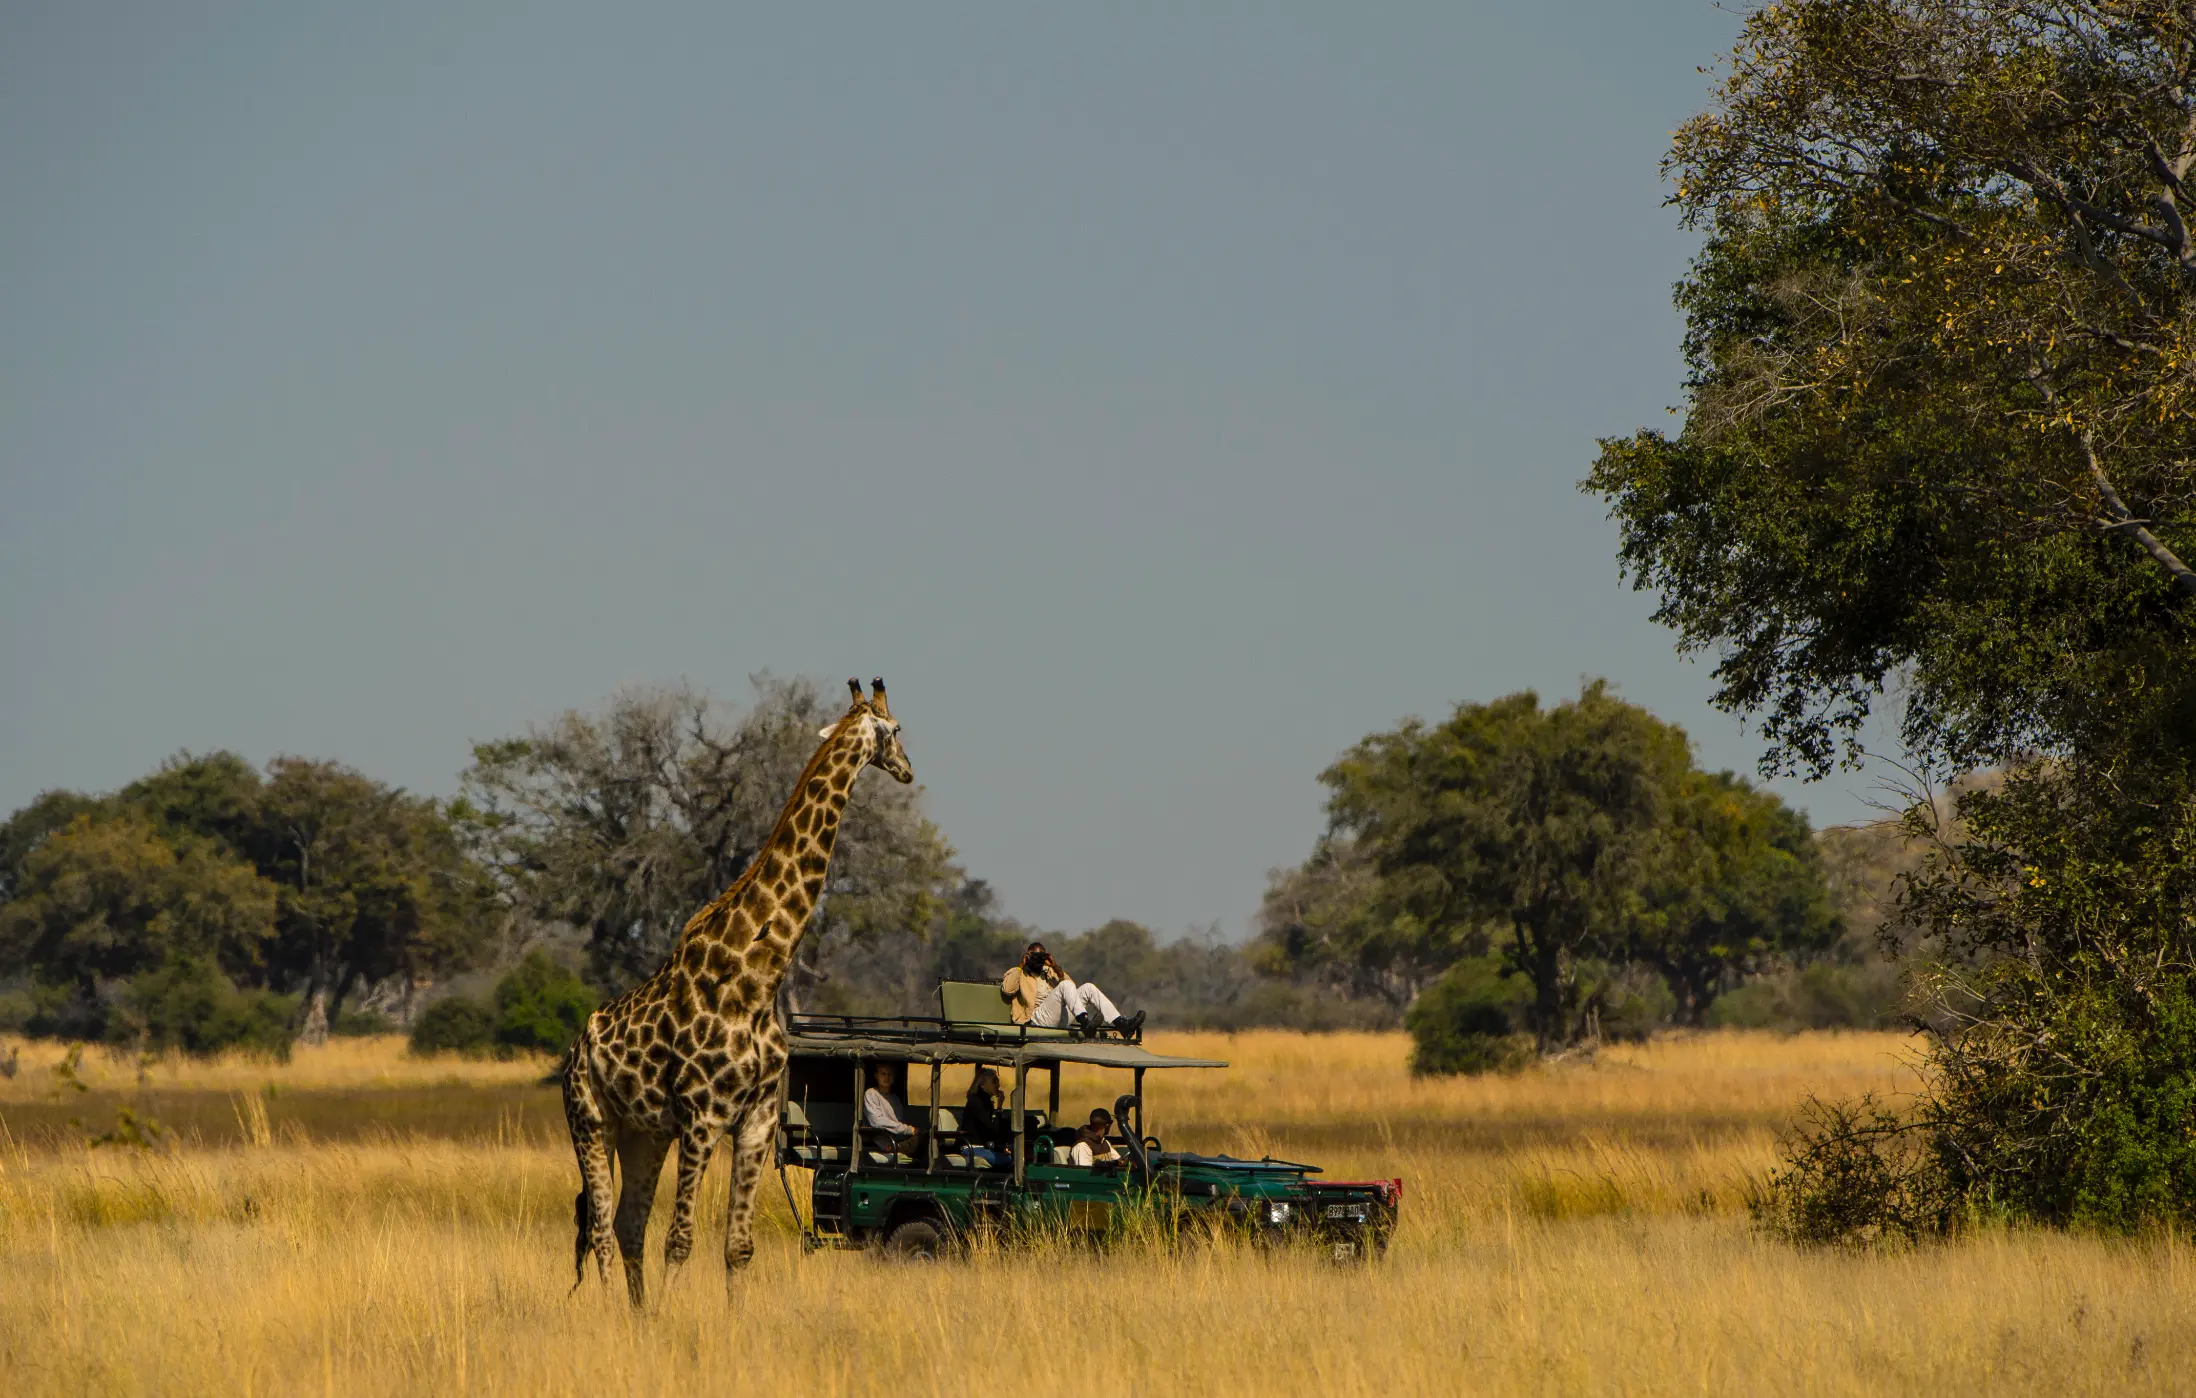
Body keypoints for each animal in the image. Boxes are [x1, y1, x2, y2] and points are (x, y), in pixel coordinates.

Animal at [566, 671, 917, 1299]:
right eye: (896, 728)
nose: (908, 770)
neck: (757, 977)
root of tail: (573, 1053)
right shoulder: (703, 1118)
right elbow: (680, 1241)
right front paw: (671, 1318)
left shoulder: (754, 1121)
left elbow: (739, 1247)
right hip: (591, 1120)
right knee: (602, 1226)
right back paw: (612, 1314)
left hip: (643, 1133)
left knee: (627, 1224)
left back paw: (635, 1314)